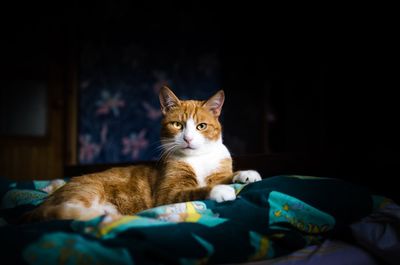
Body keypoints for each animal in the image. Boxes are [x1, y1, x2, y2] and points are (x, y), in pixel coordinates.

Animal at [25, 86, 262, 221]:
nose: (188, 139)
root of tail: (36, 207)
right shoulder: (167, 194)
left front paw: (245, 174)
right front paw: (220, 190)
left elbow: (224, 176)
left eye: (201, 126)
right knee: (60, 212)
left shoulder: (218, 169)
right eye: (177, 125)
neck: (198, 160)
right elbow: (197, 189)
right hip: (86, 191)